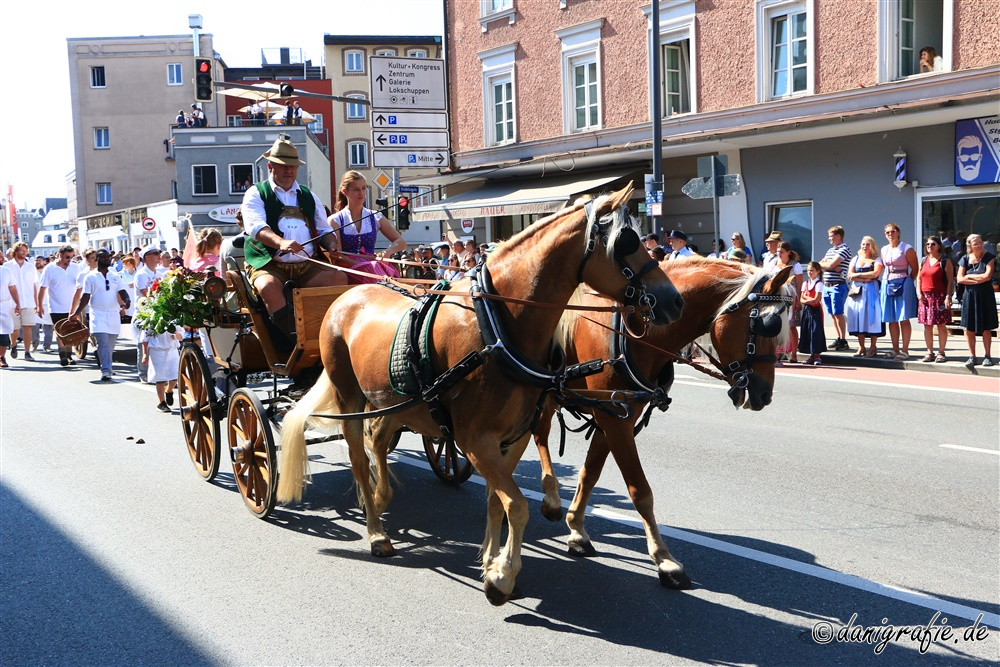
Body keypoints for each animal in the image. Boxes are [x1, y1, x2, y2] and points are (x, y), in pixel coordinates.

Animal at [276, 184, 688, 604]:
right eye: (627, 241)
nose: (675, 300)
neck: (498, 326)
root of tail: (346, 295)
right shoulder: (474, 439)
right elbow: (517, 505)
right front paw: (503, 575)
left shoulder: (513, 437)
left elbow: (497, 500)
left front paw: (491, 562)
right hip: (350, 398)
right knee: (359, 460)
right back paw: (376, 532)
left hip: (396, 403)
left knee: (378, 441)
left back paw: (380, 497)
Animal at [536, 258, 792, 588]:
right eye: (768, 324)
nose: (764, 394)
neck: (634, 332)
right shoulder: (613, 420)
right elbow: (640, 491)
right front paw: (664, 559)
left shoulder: (617, 416)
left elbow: (589, 474)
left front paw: (577, 530)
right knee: (538, 435)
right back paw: (551, 497)